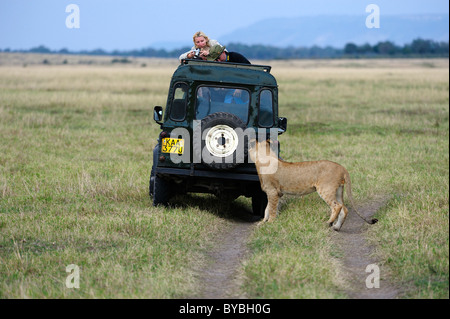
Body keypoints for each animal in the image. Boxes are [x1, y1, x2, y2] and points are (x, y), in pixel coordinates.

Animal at [248, 139, 378, 230]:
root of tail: (342, 167)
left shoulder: (273, 192)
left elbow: (271, 208)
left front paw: (270, 223)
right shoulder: (277, 193)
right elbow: (267, 209)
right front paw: (262, 222)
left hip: (325, 189)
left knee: (336, 206)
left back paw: (329, 222)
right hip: (338, 190)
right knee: (344, 208)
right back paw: (336, 227)